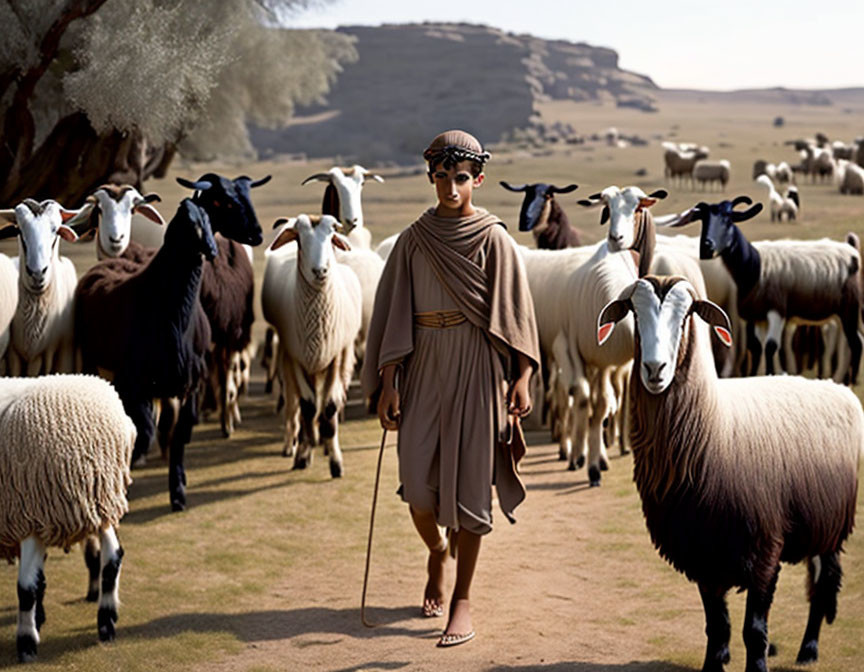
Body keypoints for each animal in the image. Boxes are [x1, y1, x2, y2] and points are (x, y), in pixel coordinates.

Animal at [0, 376, 135, 664]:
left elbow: (32, 584)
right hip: (98, 499)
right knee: (112, 557)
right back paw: (106, 622)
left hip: (34, 506)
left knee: (25, 586)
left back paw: (26, 643)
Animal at [260, 215, 362, 478]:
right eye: (300, 238)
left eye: (332, 234)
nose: (320, 271)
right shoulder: (295, 356)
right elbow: (307, 407)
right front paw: (303, 455)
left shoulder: (336, 356)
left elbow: (329, 408)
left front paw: (335, 462)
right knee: (295, 405)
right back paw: (300, 442)